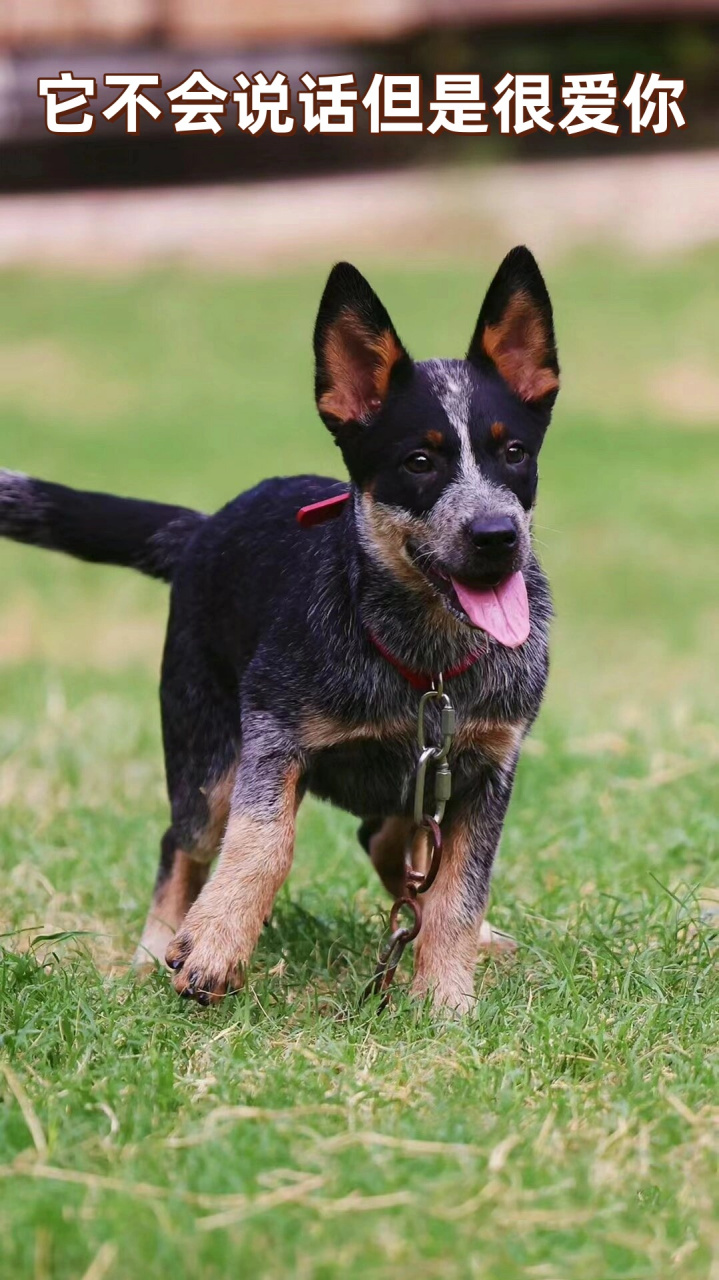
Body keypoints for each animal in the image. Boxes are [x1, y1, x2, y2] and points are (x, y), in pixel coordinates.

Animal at [0, 247, 555, 1008]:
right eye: (419, 461)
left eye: (514, 453)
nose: (497, 536)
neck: (425, 665)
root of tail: (202, 528)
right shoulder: (271, 727)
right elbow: (265, 841)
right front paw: (215, 943)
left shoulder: (486, 766)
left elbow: (459, 892)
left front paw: (445, 1000)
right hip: (205, 749)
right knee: (186, 841)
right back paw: (151, 949)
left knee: (386, 839)